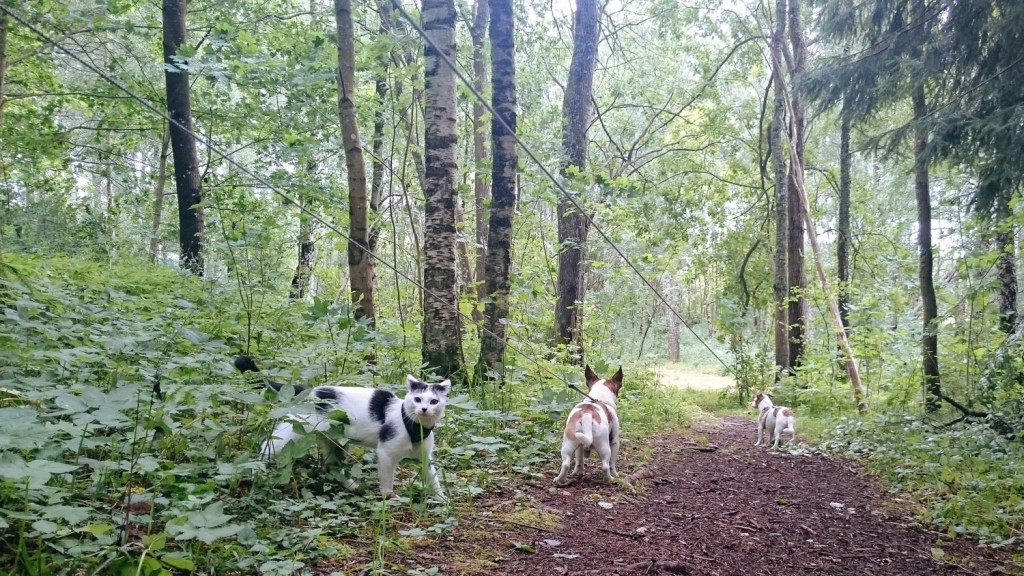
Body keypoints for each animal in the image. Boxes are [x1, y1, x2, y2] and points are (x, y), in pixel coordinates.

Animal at [239, 356, 452, 500]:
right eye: (417, 399)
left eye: (433, 401)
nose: (424, 409)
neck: (417, 426)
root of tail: (309, 390)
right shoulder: (385, 452)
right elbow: (386, 478)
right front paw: (388, 497)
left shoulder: (424, 456)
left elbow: (433, 478)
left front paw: (442, 499)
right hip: (295, 430)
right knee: (267, 446)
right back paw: (255, 474)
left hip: (333, 441)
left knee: (332, 466)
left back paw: (351, 485)